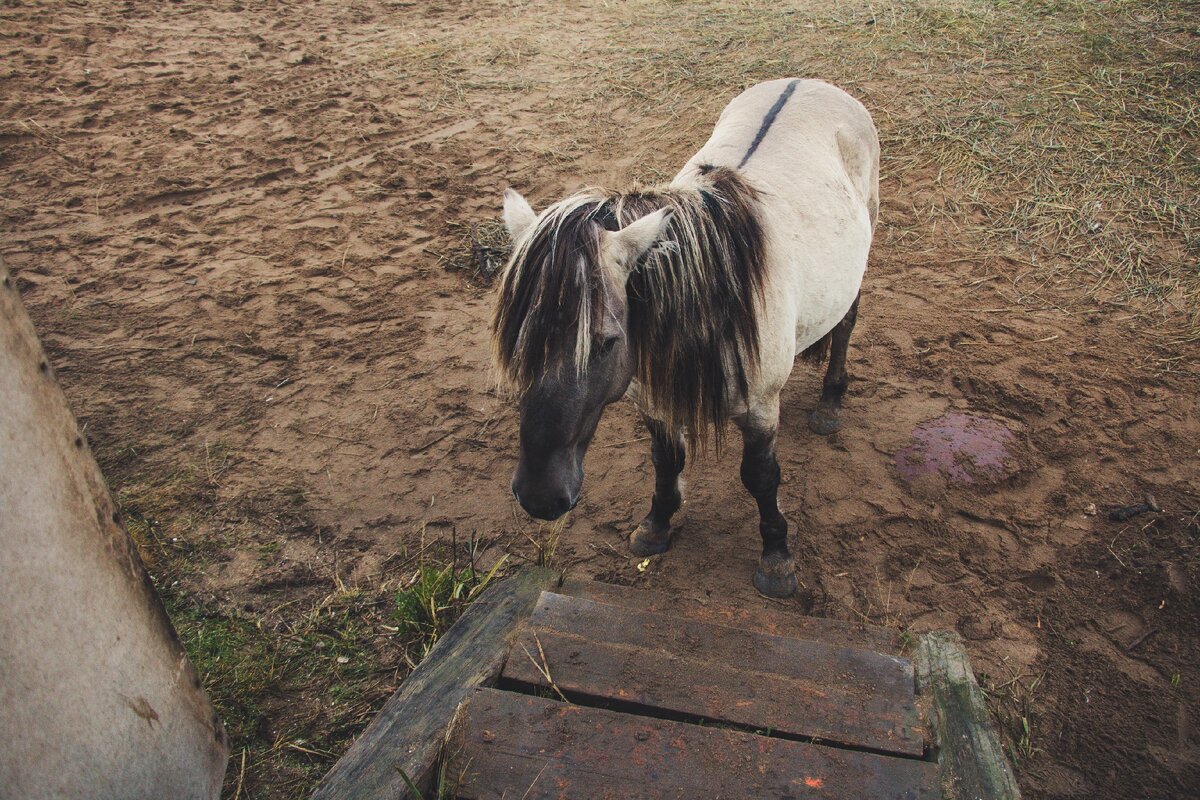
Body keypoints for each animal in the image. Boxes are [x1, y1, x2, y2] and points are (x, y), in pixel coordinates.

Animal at [492, 77, 878, 597]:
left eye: (607, 341)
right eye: (517, 341)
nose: (540, 498)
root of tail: (809, 82)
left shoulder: (761, 406)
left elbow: (761, 477)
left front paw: (776, 558)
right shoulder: (651, 398)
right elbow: (666, 459)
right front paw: (656, 525)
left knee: (845, 326)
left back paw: (831, 402)